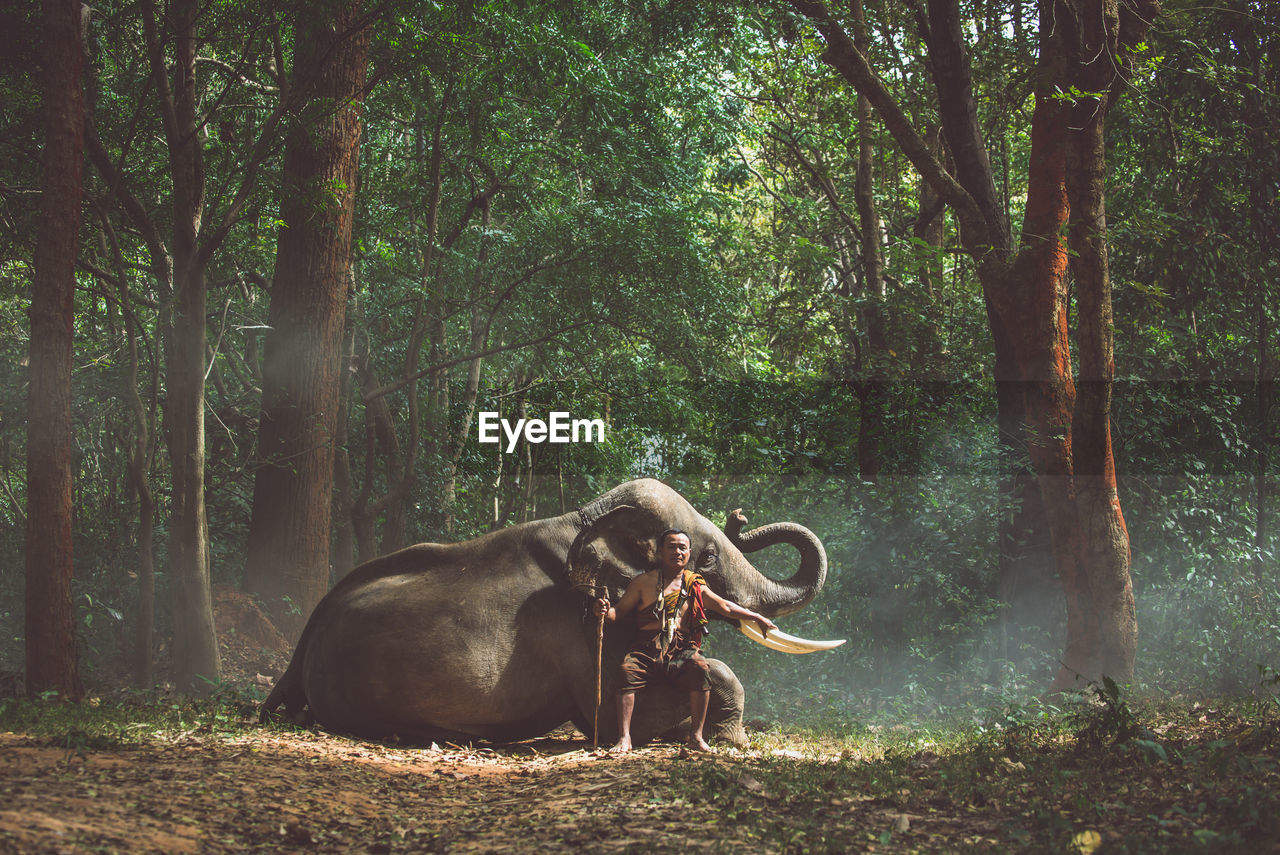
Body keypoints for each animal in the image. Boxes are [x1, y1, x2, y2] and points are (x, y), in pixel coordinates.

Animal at [259, 478, 839, 742]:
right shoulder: (575, 627)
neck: (586, 515)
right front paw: (733, 738)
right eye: (711, 555)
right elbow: (616, 711)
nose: (740, 516)